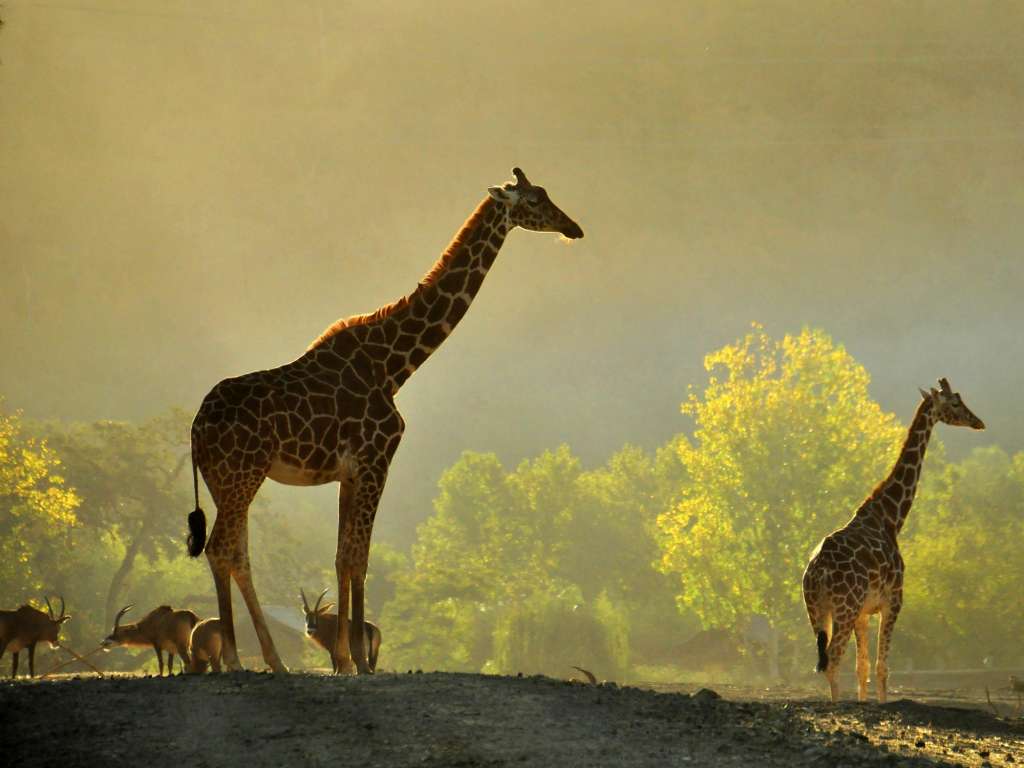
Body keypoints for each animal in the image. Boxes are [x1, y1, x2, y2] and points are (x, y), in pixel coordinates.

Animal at [186, 166, 585, 671]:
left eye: (546, 194)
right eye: (534, 201)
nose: (574, 228)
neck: (394, 366)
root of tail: (195, 428)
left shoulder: (350, 471)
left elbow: (344, 557)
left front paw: (344, 658)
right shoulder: (377, 460)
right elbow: (358, 556)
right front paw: (357, 659)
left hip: (225, 481)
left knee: (236, 552)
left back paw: (274, 660)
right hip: (244, 475)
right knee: (223, 548)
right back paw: (241, 660)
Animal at [798, 378, 983, 704]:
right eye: (955, 403)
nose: (979, 422)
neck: (891, 518)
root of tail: (817, 572)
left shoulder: (863, 613)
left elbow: (863, 668)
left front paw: (865, 704)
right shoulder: (894, 600)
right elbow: (882, 667)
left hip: (816, 610)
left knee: (826, 659)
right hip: (842, 608)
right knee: (832, 658)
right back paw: (836, 706)